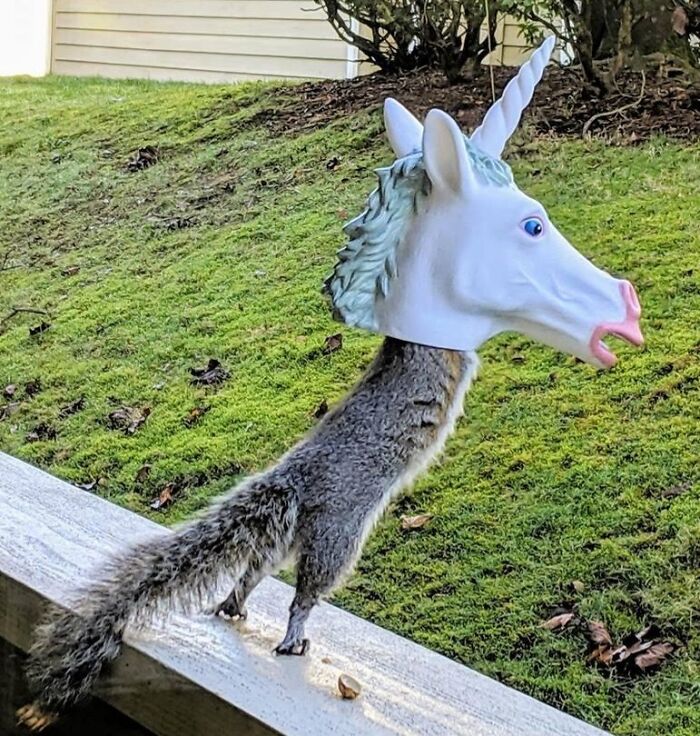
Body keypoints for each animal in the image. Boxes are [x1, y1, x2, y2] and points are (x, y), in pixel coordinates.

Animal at [18, 338, 479, 729]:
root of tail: (296, 479)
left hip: (285, 537)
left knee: (253, 570)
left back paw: (234, 601)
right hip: (336, 534)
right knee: (306, 590)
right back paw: (293, 632)